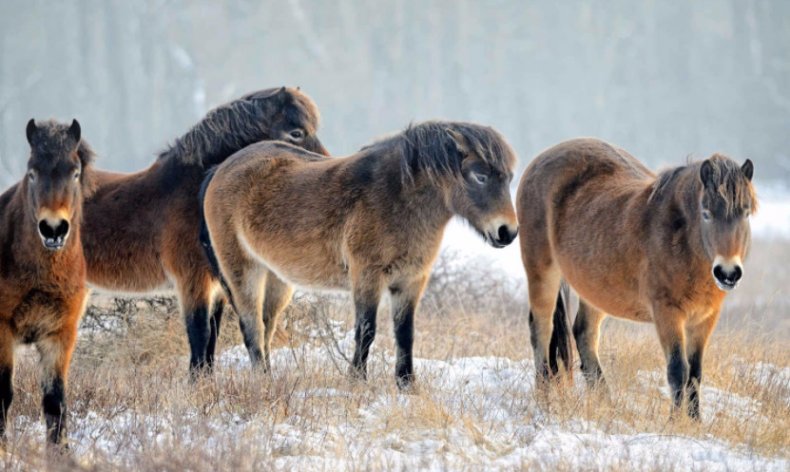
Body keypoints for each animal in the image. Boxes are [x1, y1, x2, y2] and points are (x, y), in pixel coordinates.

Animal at [0, 119, 95, 446]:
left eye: (75, 172)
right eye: (32, 172)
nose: (53, 229)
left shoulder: (59, 334)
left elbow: (55, 401)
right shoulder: (3, 330)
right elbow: (3, 394)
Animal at [80, 87, 328, 376]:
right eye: (296, 132)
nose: (326, 163)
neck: (192, 190)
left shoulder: (217, 286)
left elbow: (212, 338)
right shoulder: (193, 281)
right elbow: (200, 334)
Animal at [201, 121, 520, 388]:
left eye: (508, 178)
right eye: (480, 176)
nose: (507, 232)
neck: (396, 198)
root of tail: (220, 169)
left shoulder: (411, 281)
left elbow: (405, 333)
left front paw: (407, 384)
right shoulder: (367, 277)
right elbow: (366, 330)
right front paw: (357, 380)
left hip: (277, 278)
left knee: (267, 326)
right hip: (243, 270)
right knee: (251, 325)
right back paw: (263, 379)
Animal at [516, 138, 756, 418]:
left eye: (745, 213)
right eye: (706, 213)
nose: (728, 273)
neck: (679, 238)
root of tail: (540, 161)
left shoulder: (705, 318)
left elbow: (695, 373)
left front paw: (695, 421)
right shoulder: (667, 313)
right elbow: (678, 370)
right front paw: (675, 422)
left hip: (595, 290)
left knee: (584, 334)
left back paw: (606, 403)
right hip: (542, 271)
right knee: (541, 330)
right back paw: (544, 399)